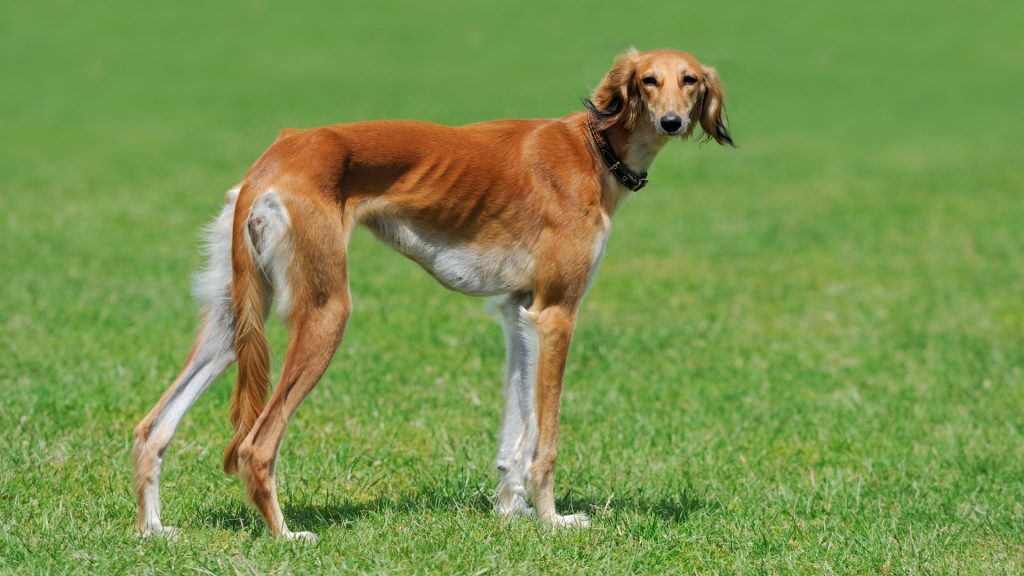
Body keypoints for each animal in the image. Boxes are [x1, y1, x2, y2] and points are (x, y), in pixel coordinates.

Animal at [132, 45, 733, 537]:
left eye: (690, 80)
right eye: (649, 80)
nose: (673, 121)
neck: (594, 147)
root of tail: (274, 159)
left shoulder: (519, 311)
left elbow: (516, 432)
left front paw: (510, 511)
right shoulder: (556, 313)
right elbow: (545, 438)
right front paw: (552, 521)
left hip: (233, 318)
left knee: (151, 428)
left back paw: (153, 529)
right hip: (326, 310)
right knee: (256, 445)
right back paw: (284, 535)